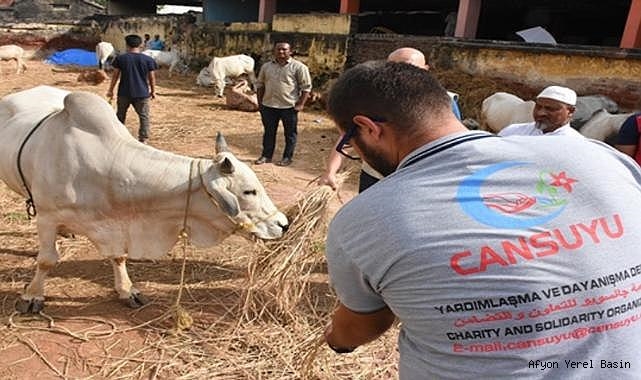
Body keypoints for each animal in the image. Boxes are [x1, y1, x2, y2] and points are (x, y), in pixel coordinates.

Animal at [0, 85, 288, 312]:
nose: (284, 224)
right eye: (249, 191)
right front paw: (32, 296)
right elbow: (47, 260)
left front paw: (127, 290)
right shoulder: (48, 217)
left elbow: (118, 257)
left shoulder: (116, 224)